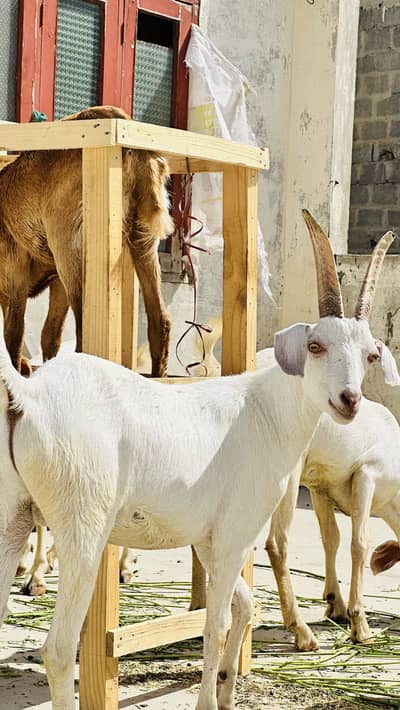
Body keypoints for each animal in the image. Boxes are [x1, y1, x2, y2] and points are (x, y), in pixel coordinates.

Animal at [0, 105, 173, 377]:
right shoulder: (56, 281)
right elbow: (49, 335)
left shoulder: (14, 278)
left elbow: (14, 338)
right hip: (143, 242)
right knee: (160, 321)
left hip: (68, 249)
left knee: (85, 324)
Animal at [0, 213, 397, 709]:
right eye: (316, 346)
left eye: (370, 355)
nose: (349, 400)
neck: (264, 413)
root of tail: (28, 394)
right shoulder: (233, 536)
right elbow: (216, 621)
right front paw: (209, 699)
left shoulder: (210, 540)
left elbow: (246, 605)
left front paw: (227, 690)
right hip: (83, 528)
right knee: (57, 649)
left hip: (13, 516)